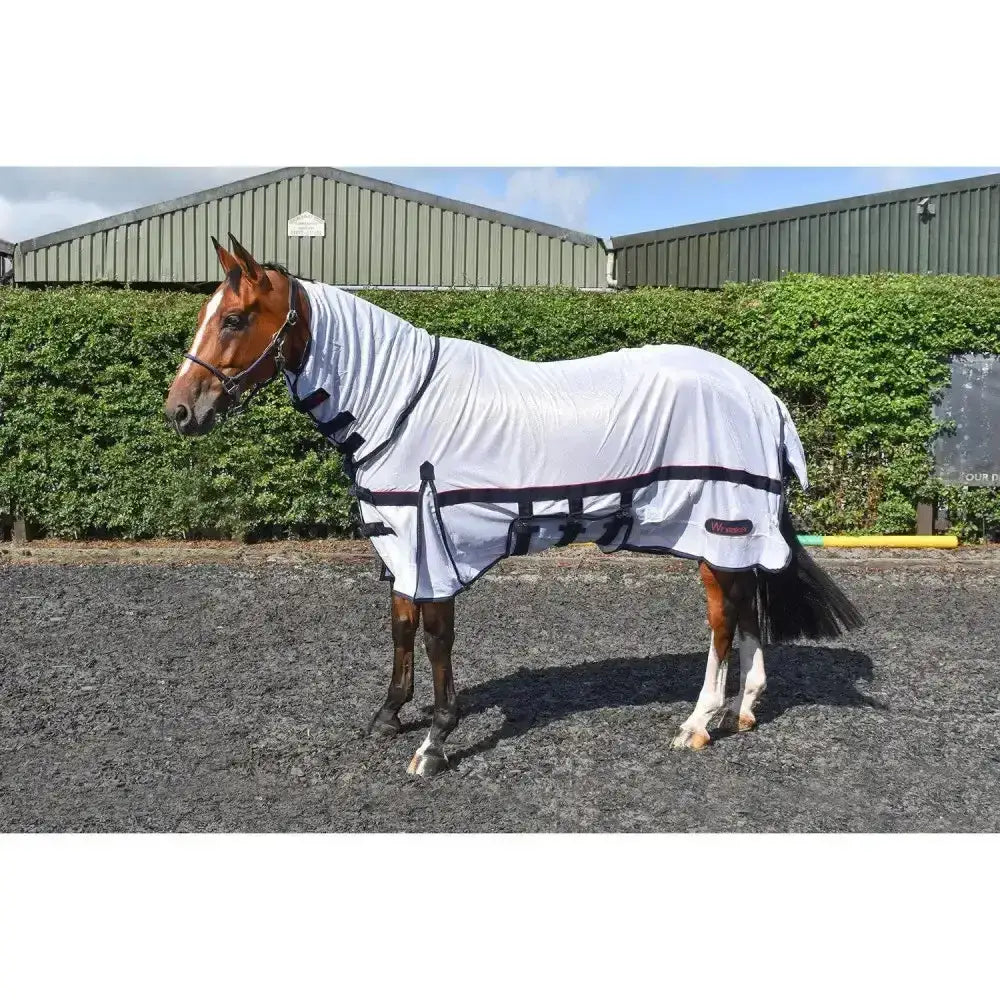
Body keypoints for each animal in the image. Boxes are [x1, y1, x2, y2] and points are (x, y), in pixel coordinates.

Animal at [165, 234, 863, 777]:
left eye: (234, 319)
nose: (179, 411)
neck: (398, 403)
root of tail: (763, 397)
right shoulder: (398, 544)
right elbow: (400, 631)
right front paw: (387, 716)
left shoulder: (433, 545)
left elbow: (437, 638)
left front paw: (434, 743)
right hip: (728, 536)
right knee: (745, 610)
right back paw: (743, 710)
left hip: (719, 529)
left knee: (723, 620)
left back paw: (699, 722)